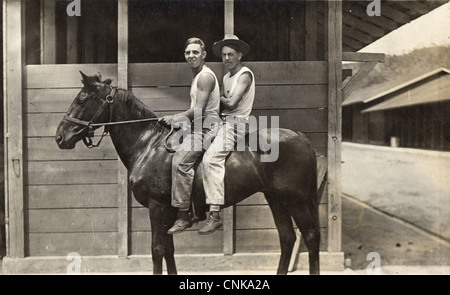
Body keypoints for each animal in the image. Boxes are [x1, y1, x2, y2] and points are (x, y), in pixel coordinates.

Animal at [54, 73, 320, 276]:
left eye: (82, 99)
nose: (60, 136)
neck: (148, 144)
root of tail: (301, 137)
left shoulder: (157, 207)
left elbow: (157, 251)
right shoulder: (170, 211)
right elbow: (169, 251)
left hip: (295, 200)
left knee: (310, 237)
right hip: (275, 199)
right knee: (287, 239)